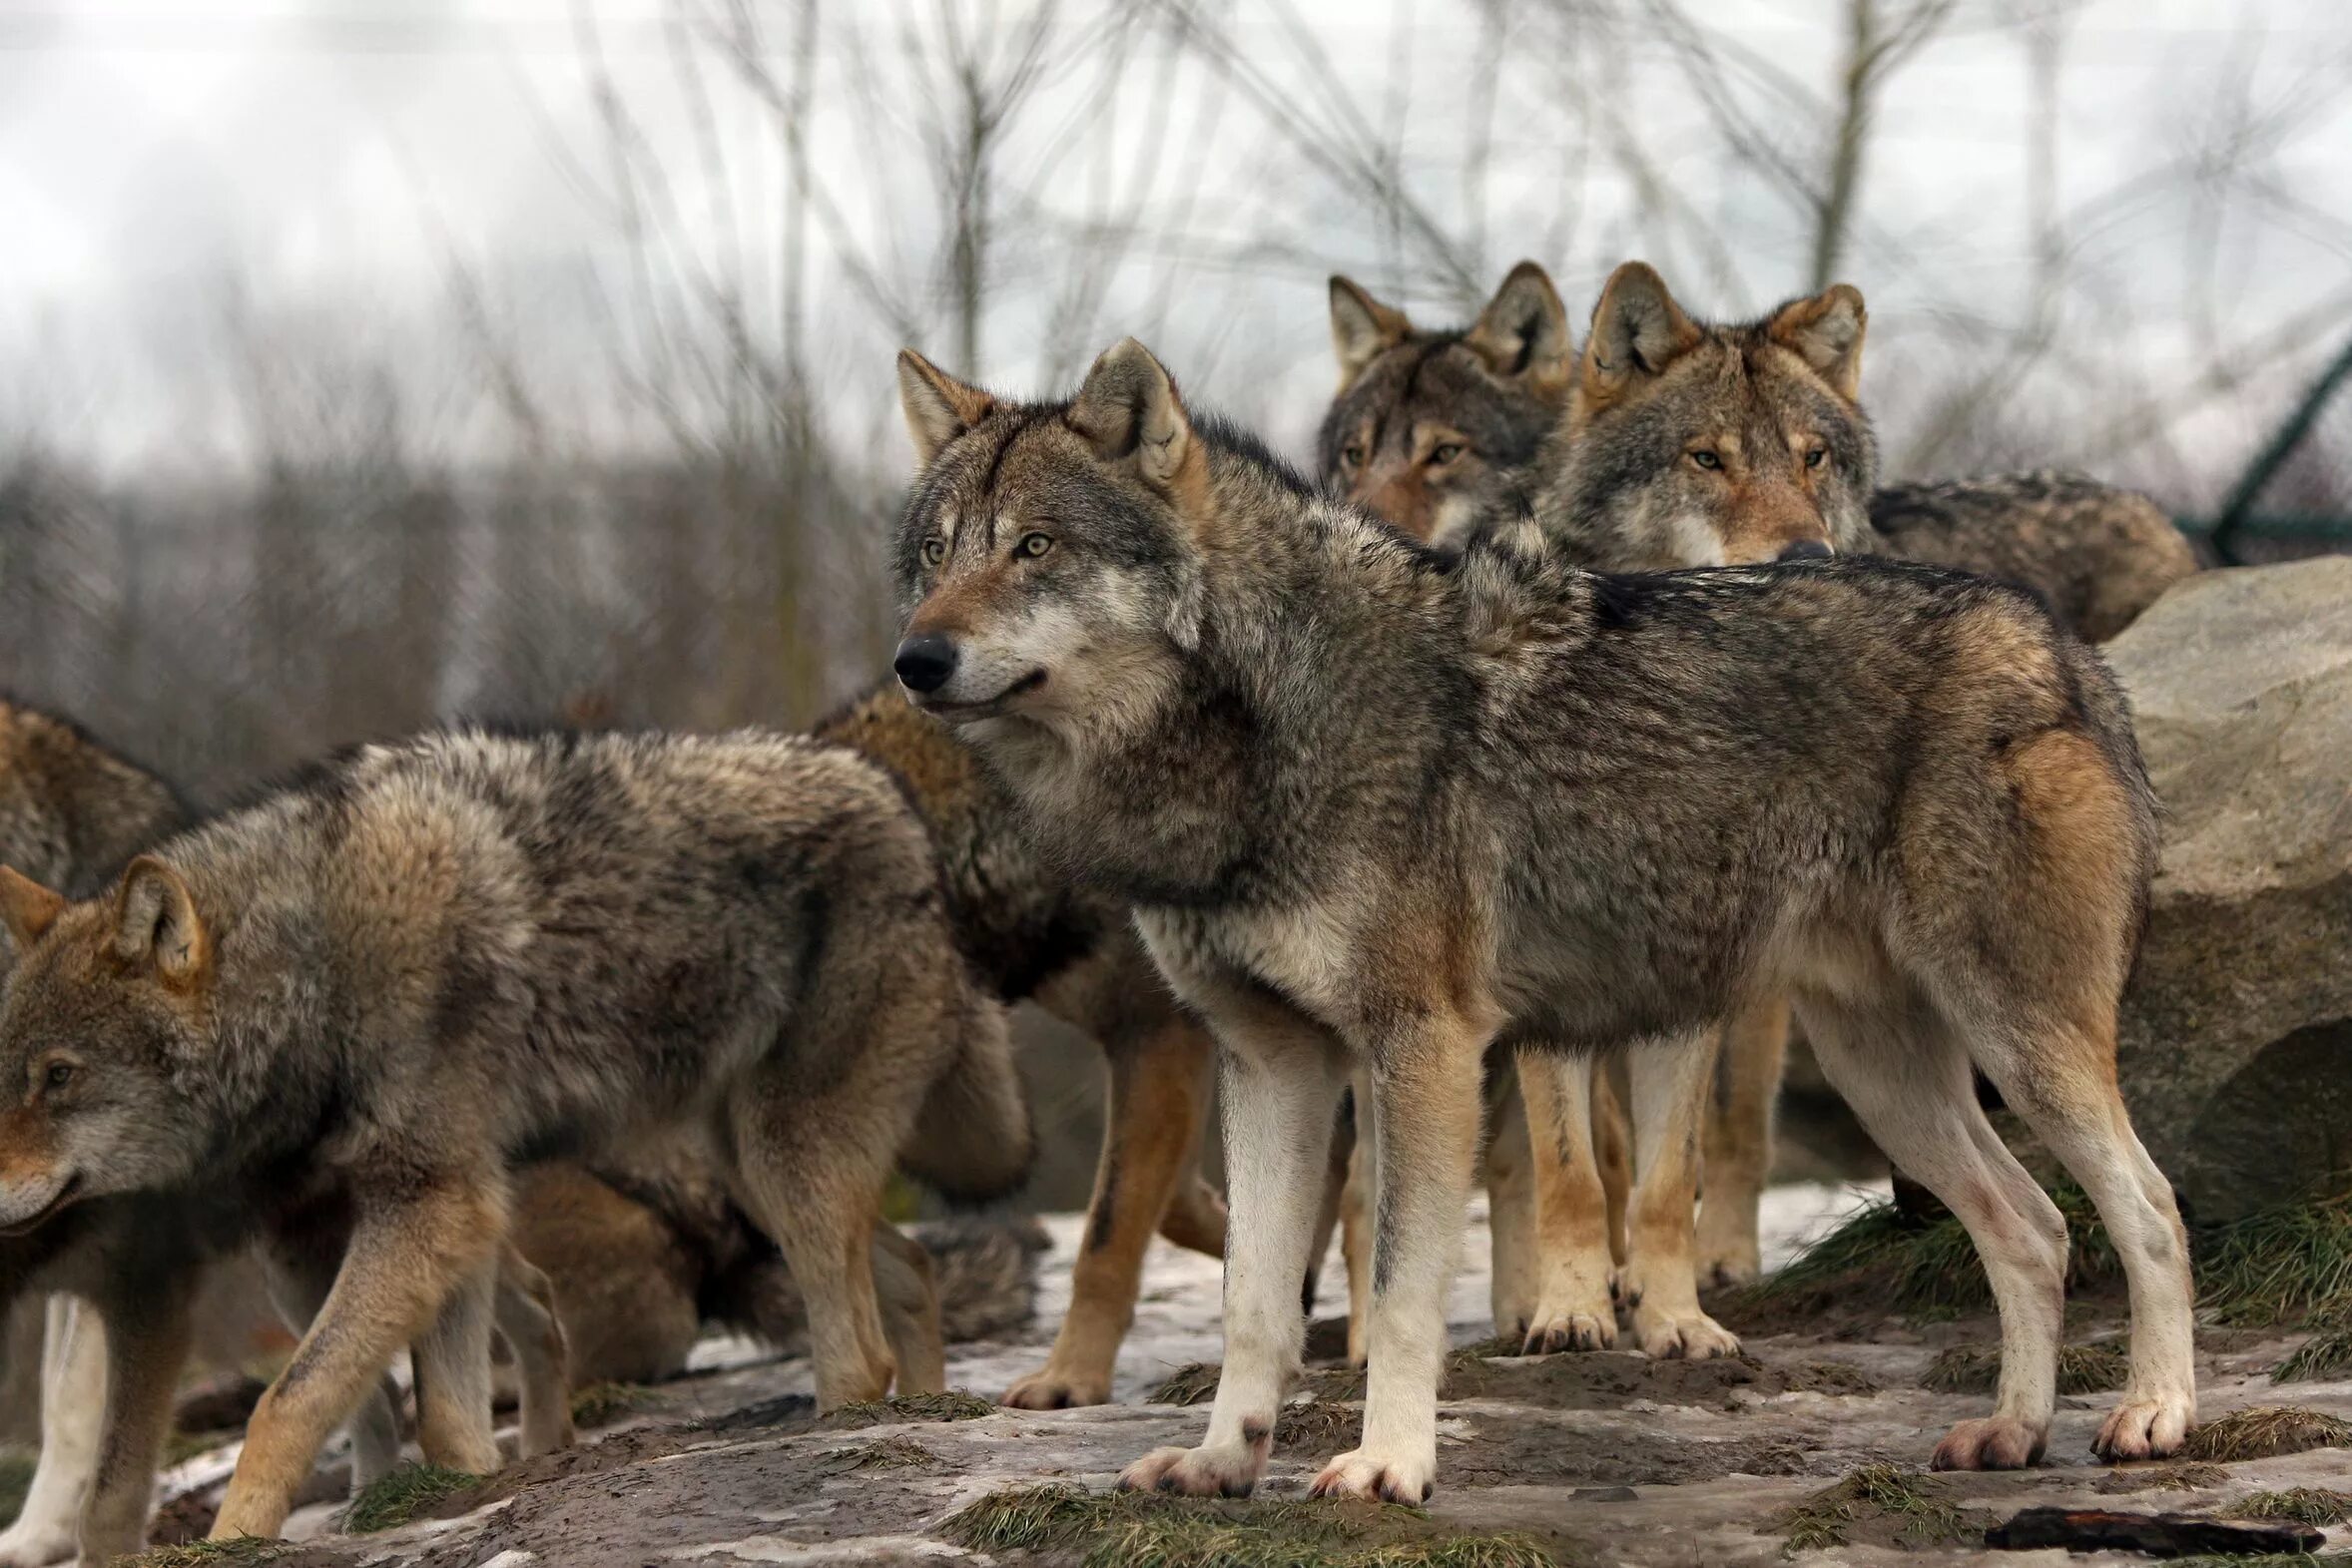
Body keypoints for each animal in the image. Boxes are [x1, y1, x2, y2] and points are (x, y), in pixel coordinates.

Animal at [0, 729, 1020, 1542]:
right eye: (10, 1072)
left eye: (59, 1077)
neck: (316, 963)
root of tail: (898, 806)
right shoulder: (417, 1207)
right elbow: (430, 1413)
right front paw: (463, 1494)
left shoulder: (431, 1200)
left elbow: (288, 1402)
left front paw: (235, 1538)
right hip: (749, 1168)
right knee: (910, 1267)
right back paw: (935, 1409)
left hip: (780, 1160)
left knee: (857, 1343)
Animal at [888, 338, 2191, 1504]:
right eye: (937, 551)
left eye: (1036, 546)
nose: (915, 658)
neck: (1259, 721)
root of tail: (2062, 648)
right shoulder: (1270, 1064)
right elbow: (1254, 1301)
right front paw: (1220, 1461)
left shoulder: (1422, 1049)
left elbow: (1400, 1288)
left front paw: (1387, 1466)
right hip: (1891, 1077)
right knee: (2033, 1229)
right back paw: (2010, 1432)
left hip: (2021, 1046)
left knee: (2150, 1206)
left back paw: (2151, 1416)